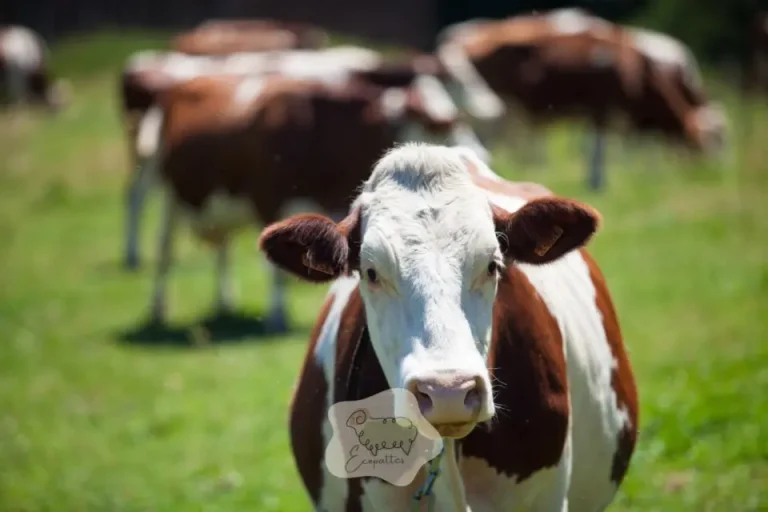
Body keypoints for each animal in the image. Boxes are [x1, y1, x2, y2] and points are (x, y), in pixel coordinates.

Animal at [135, 74, 488, 331]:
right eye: (441, 122)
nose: (480, 154)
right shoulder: (269, 197)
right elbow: (276, 271)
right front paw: (277, 315)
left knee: (222, 246)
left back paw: (225, 303)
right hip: (164, 188)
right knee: (164, 248)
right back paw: (157, 308)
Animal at [436, 9, 727, 189]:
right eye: (709, 140)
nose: (712, 170)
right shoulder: (601, 104)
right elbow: (597, 145)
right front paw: (598, 181)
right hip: (495, 110)